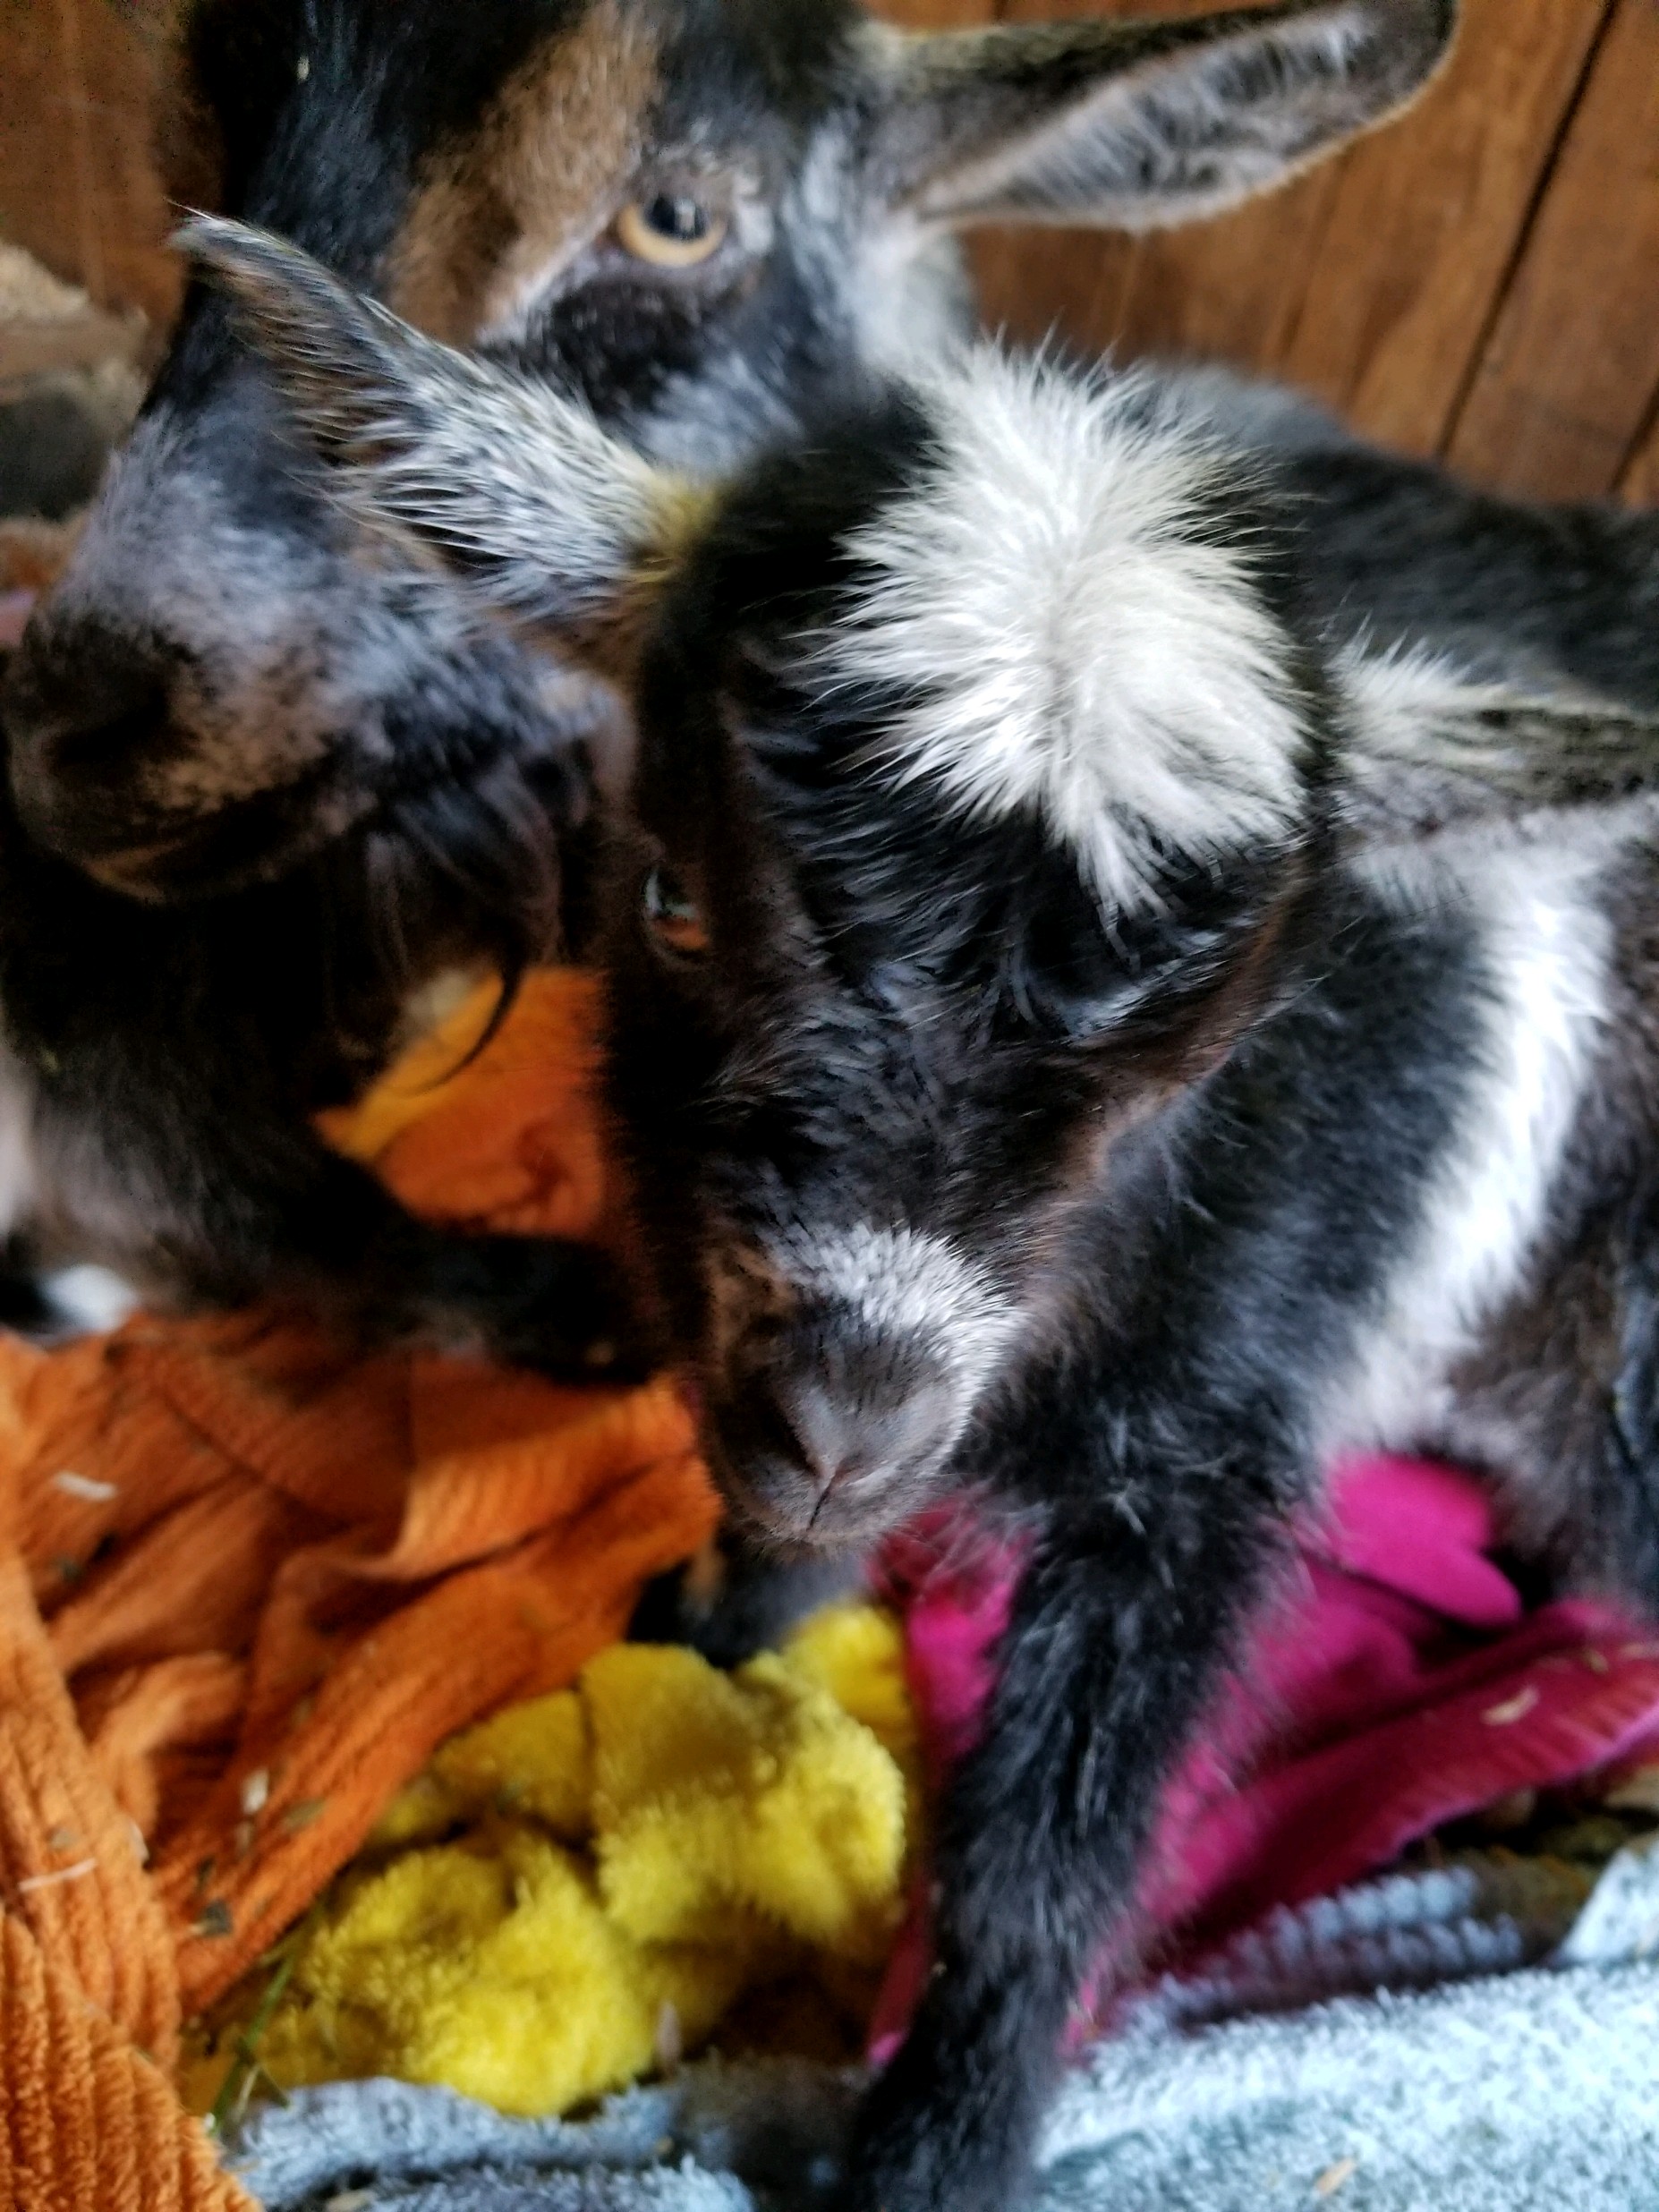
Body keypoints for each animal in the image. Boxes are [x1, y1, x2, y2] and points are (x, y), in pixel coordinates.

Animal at [196, 217, 1659, 2212]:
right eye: (669, 897)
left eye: (1199, 1060)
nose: (848, 1413)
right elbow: (760, 1519)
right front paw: (716, 1621)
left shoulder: (1202, 1447)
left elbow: (1055, 1840)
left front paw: (937, 2153)